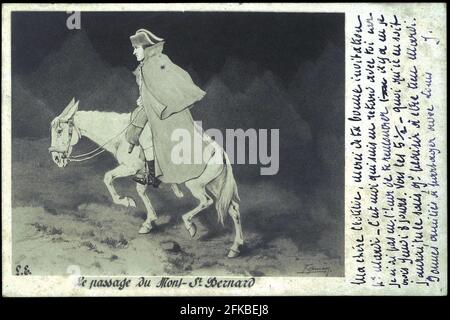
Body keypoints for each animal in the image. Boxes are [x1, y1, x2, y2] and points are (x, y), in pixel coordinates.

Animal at [48, 99, 244, 258]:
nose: (56, 159)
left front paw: (125, 201)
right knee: (233, 209)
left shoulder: (129, 168)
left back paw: (190, 225)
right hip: (215, 185)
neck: (120, 136)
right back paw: (235, 247)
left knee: (206, 201)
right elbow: (141, 191)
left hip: (195, 185)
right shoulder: (142, 174)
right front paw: (149, 222)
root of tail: (220, 152)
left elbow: (108, 178)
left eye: (59, 131)